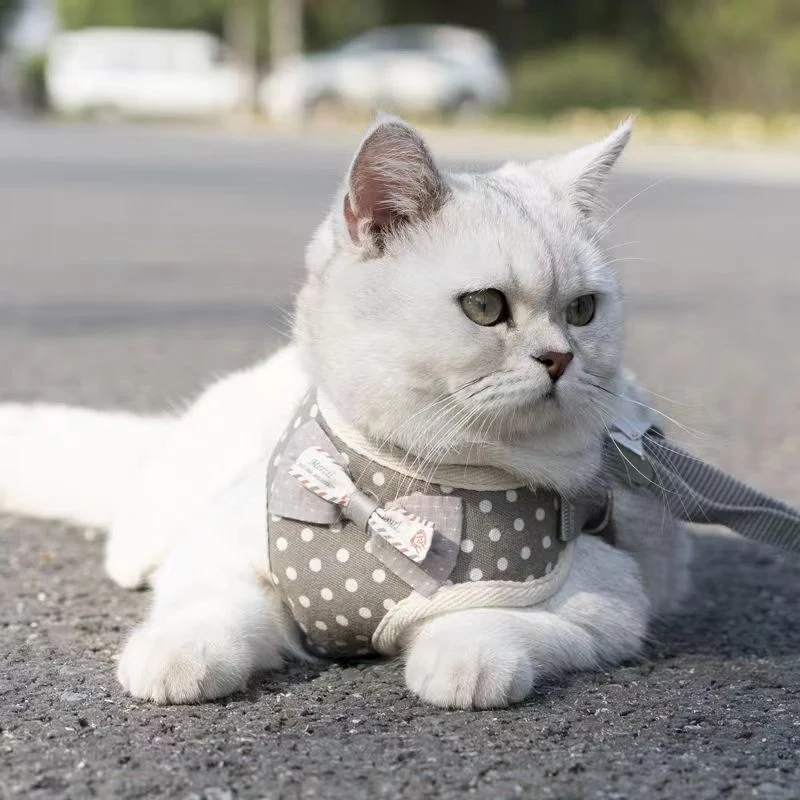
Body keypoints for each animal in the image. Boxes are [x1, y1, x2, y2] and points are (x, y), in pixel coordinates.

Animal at [0, 117, 688, 708]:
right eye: (486, 307)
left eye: (583, 311)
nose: (560, 359)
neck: (403, 487)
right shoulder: (218, 551)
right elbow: (210, 608)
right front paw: (176, 657)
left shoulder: (603, 603)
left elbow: (492, 623)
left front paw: (460, 663)